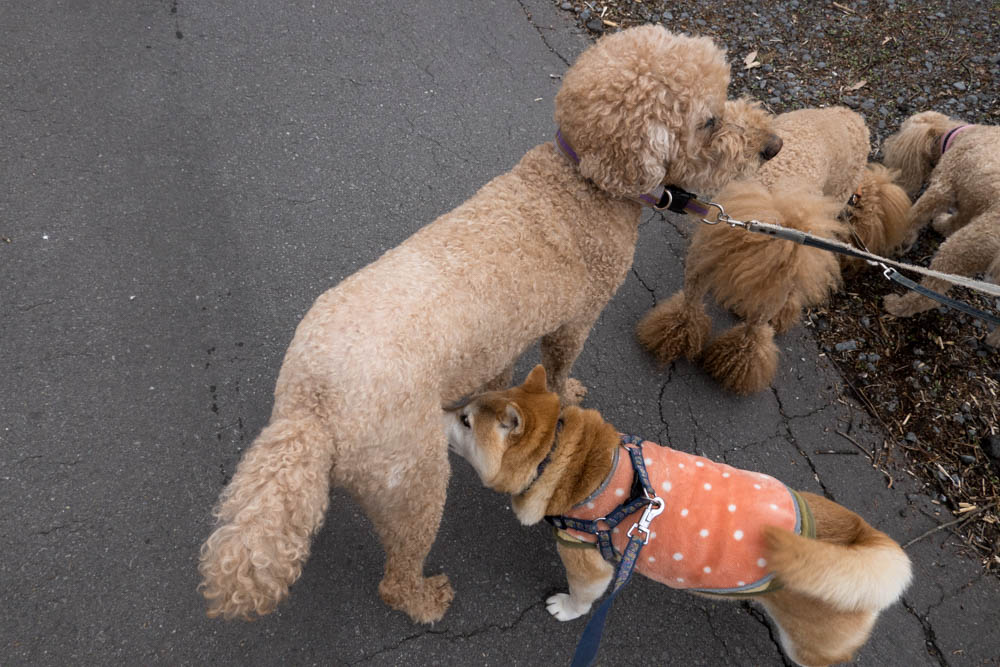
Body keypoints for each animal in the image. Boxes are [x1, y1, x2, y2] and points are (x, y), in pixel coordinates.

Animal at [446, 368, 916, 667]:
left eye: (465, 420)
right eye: (466, 408)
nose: (439, 410)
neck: (571, 462)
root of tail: (866, 541)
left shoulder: (588, 562)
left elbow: (582, 599)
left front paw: (566, 608)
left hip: (807, 646)